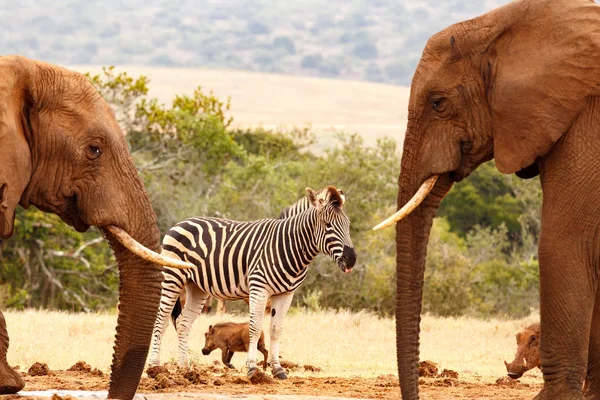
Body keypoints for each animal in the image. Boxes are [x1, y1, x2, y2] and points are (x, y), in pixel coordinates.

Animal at [149, 186, 356, 380]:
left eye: (348, 225)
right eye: (328, 225)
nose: (351, 260)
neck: (288, 246)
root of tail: (181, 223)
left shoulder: (286, 293)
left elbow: (276, 329)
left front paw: (277, 369)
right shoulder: (258, 289)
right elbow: (255, 328)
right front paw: (252, 369)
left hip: (196, 287)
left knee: (183, 323)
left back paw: (185, 368)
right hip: (172, 278)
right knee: (161, 321)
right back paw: (154, 368)